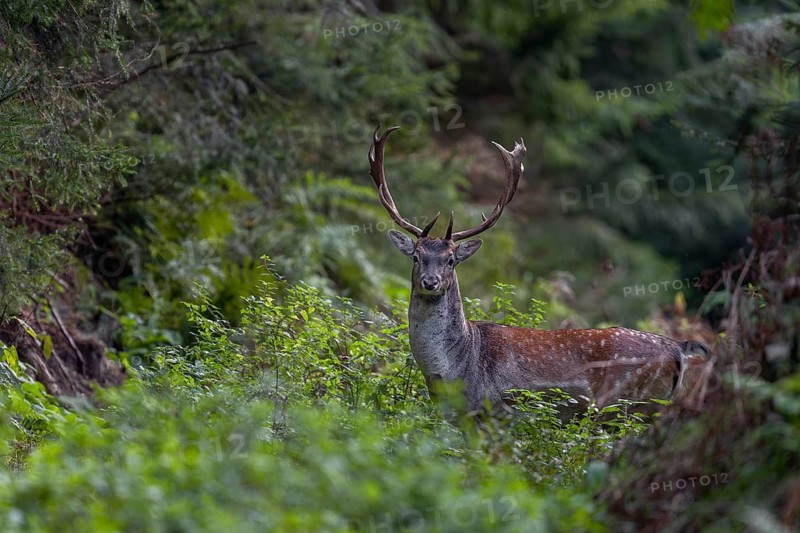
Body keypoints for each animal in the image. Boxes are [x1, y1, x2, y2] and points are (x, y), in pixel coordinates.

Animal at [368, 125, 708, 417]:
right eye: (416, 257)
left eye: (451, 260)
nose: (430, 281)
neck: (454, 370)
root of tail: (678, 348)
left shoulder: (499, 411)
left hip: (628, 403)